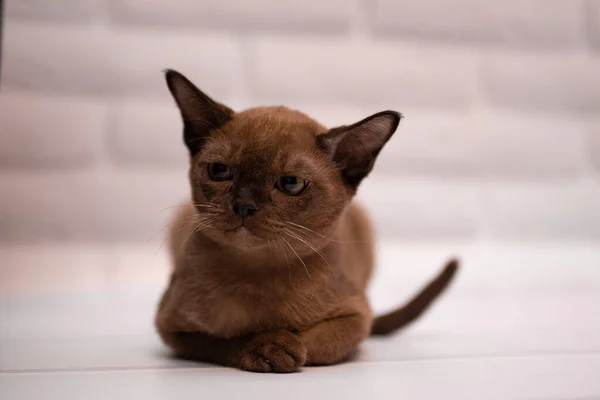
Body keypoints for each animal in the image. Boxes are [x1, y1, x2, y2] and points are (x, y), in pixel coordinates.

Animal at [156, 70, 460, 374]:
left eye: (291, 184)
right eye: (219, 171)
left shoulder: (356, 317)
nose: (243, 206)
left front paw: (283, 346)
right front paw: (269, 346)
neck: (256, 271)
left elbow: (315, 343)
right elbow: (225, 340)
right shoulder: (171, 327)